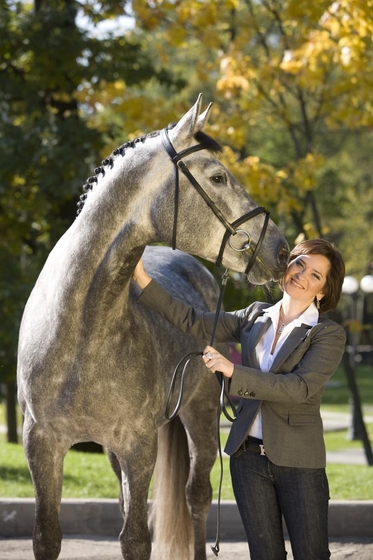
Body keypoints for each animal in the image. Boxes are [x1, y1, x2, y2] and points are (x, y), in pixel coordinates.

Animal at [17, 94, 290, 556]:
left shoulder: (139, 445)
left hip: (201, 416)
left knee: (197, 497)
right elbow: (47, 536)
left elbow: (136, 539)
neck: (79, 332)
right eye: (218, 176)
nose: (282, 249)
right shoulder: (42, 445)